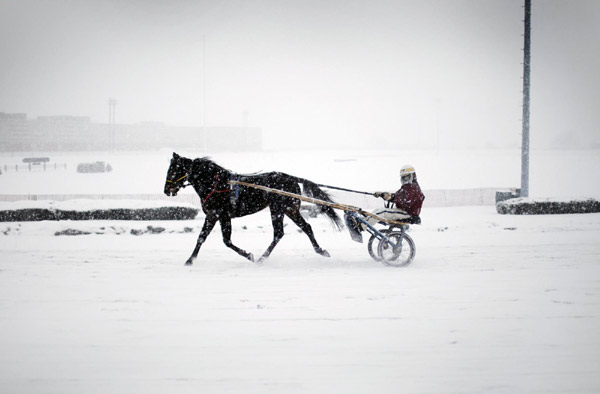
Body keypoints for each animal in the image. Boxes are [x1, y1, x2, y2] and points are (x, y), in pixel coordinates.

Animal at [164, 153, 342, 264]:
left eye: (173, 170)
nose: (166, 190)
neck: (216, 184)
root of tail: (289, 177)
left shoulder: (218, 214)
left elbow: (220, 240)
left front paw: (249, 255)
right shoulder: (217, 216)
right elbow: (209, 238)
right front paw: (190, 260)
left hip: (280, 208)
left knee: (280, 232)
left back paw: (263, 258)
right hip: (288, 209)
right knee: (303, 227)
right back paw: (320, 250)